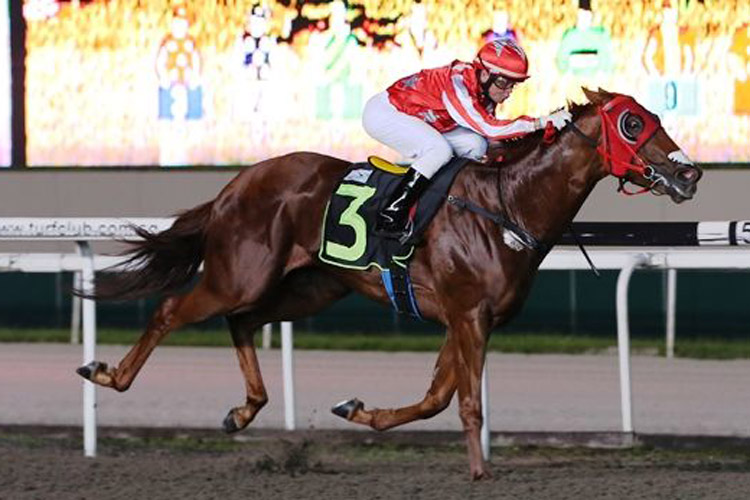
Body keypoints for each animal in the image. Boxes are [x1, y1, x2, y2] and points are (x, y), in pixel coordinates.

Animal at [78, 88, 704, 478]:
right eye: (632, 123)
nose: (689, 172)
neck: (507, 206)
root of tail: (236, 184)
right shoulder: (469, 316)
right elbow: (466, 402)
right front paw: (480, 470)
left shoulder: (467, 318)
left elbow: (434, 399)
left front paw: (358, 411)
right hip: (241, 273)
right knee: (172, 311)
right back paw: (107, 373)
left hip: (310, 287)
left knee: (243, 322)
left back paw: (244, 410)